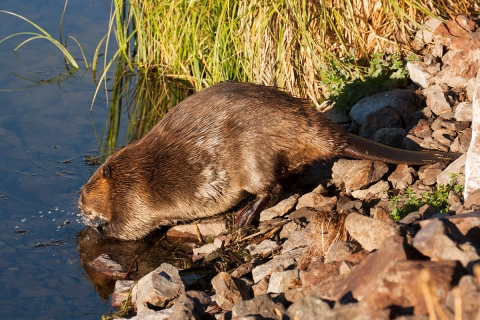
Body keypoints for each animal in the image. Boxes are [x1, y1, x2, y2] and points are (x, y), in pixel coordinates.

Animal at [77, 81, 460, 239]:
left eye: (85, 190)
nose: (79, 207)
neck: (125, 173)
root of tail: (330, 136)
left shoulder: (134, 195)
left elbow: (130, 229)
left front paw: (98, 228)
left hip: (253, 155)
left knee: (271, 188)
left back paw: (244, 217)